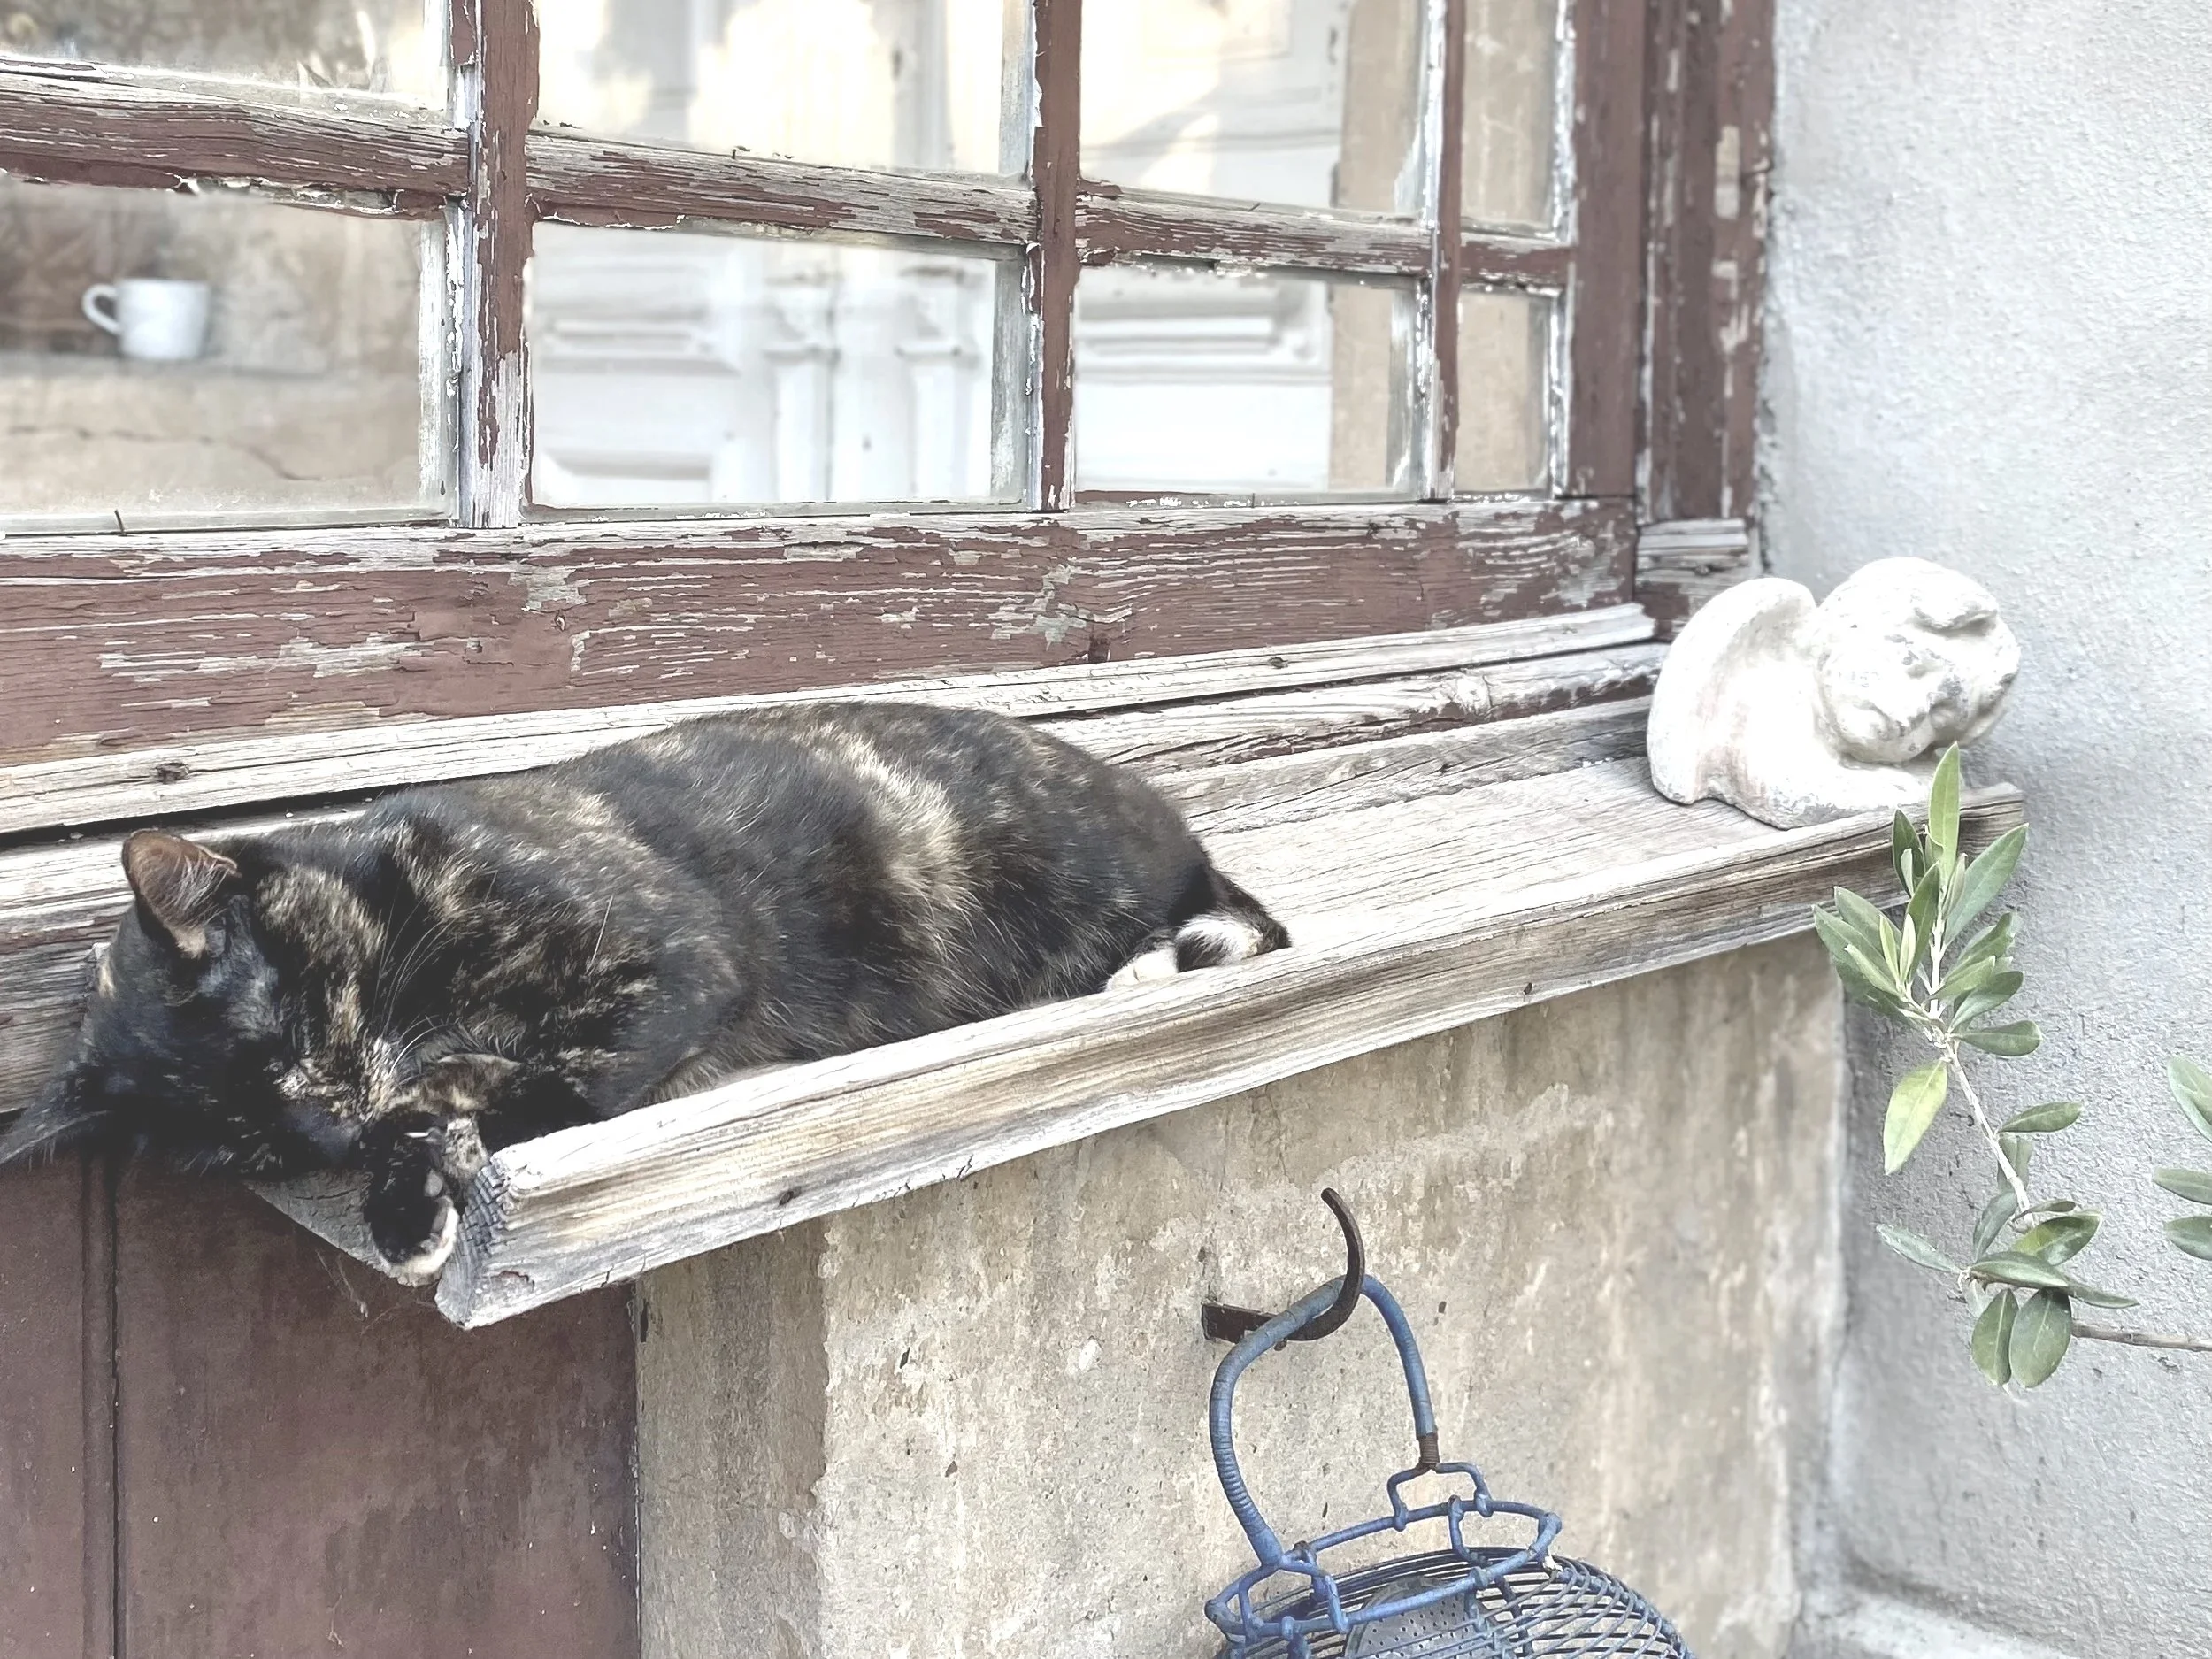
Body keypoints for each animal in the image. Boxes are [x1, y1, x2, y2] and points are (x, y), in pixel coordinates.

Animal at [0, 703, 1289, 1280]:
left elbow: (557, 1079)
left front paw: (439, 1151)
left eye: (285, 1032)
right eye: (248, 1140)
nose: (325, 1131)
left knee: (1248, 917)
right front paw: (407, 1194)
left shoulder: (678, 965)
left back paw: (1148, 961)